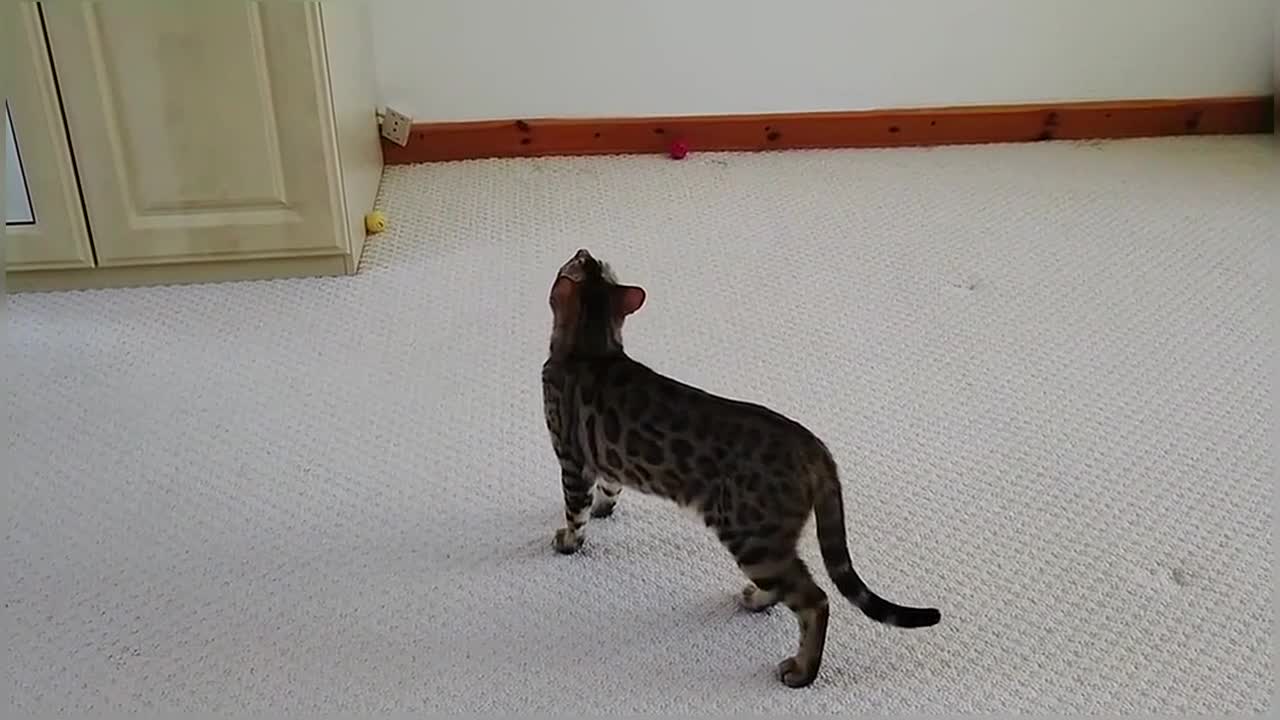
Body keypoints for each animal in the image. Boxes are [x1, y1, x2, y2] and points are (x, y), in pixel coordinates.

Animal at [540, 249, 942, 686]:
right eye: (591, 262)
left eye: (576, 261)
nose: (584, 250)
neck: (593, 346)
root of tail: (814, 447)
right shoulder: (605, 462)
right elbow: (609, 489)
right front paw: (605, 509)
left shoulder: (571, 459)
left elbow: (575, 513)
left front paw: (568, 541)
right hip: (768, 540)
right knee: (791, 585)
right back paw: (759, 602)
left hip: (752, 538)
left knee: (815, 600)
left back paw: (802, 670)